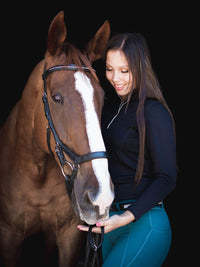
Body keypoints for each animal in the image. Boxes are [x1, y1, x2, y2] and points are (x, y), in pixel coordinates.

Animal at [0, 11, 113, 266]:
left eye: (102, 97)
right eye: (57, 97)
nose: (101, 196)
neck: (37, 175)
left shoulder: (69, 235)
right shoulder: (8, 237)